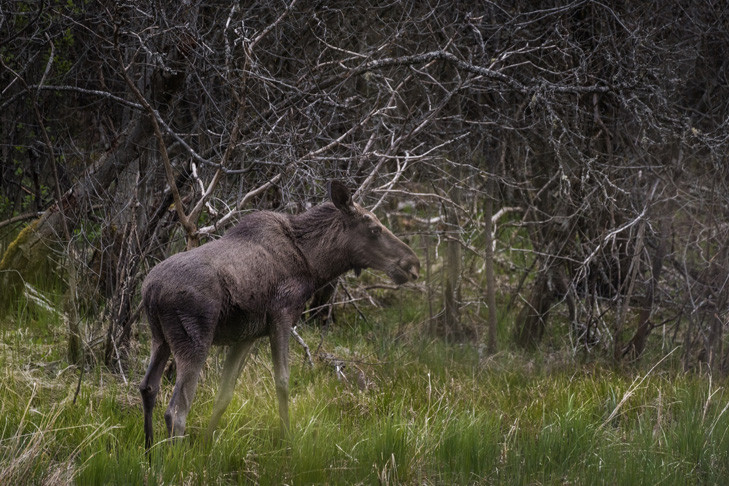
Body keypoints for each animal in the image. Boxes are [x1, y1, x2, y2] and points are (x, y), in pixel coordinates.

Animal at [139, 180, 418, 450]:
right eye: (374, 229)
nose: (412, 264)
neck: (314, 265)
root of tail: (151, 291)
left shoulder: (247, 336)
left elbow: (225, 393)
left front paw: (207, 446)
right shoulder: (282, 317)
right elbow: (282, 381)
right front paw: (287, 443)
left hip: (160, 338)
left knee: (148, 387)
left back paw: (150, 454)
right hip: (194, 341)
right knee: (176, 412)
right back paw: (177, 459)